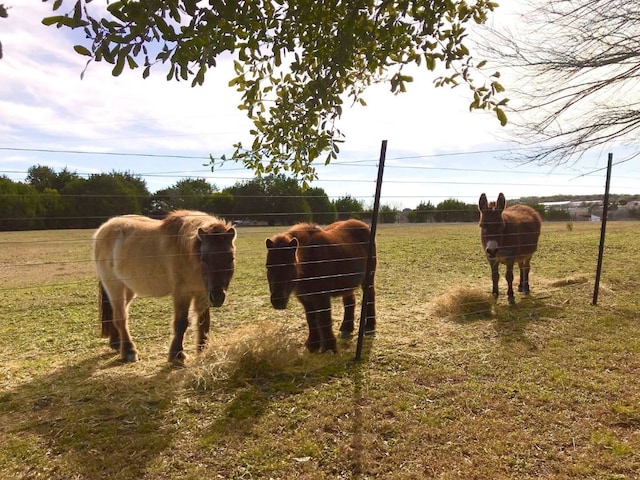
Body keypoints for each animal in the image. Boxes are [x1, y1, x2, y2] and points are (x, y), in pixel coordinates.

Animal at [91, 210, 236, 364]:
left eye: (231, 258)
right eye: (204, 259)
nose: (218, 297)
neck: (187, 252)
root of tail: (103, 228)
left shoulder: (202, 293)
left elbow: (203, 322)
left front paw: (202, 351)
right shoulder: (182, 293)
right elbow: (181, 323)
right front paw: (177, 356)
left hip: (128, 289)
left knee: (116, 314)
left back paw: (117, 344)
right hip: (114, 286)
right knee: (121, 317)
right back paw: (130, 351)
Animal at [264, 220, 376, 352]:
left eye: (290, 265)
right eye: (268, 267)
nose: (278, 301)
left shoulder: (322, 297)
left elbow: (323, 319)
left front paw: (329, 347)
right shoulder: (306, 298)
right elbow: (311, 319)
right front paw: (313, 344)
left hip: (368, 278)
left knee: (370, 297)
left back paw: (370, 326)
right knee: (350, 301)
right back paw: (346, 327)